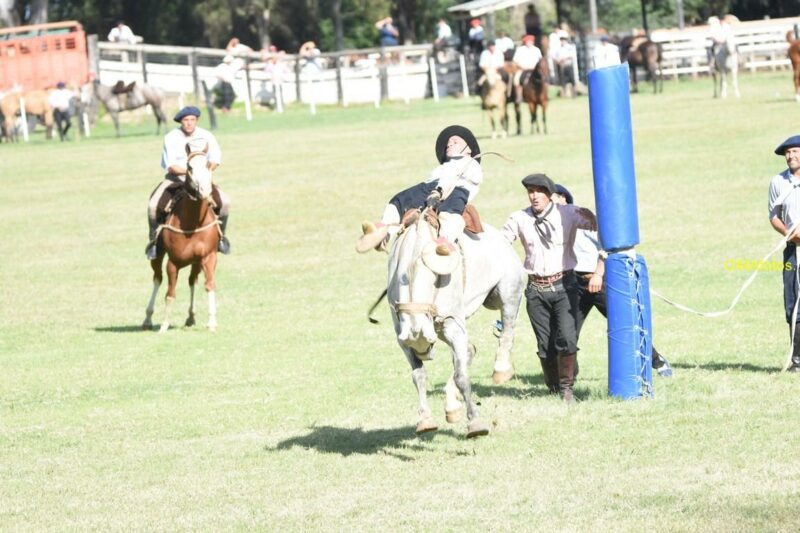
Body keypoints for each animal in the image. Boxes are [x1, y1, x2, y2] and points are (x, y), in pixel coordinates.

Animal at [143, 143, 222, 333]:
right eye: (190, 167)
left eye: (208, 164)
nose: (204, 190)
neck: (193, 222)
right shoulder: (173, 263)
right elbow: (170, 293)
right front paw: (164, 325)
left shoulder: (209, 257)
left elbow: (209, 285)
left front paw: (212, 322)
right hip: (157, 256)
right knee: (157, 278)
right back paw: (148, 318)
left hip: (196, 262)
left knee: (192, 280)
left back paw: (191, 316)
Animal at [384, 207, 525, 438]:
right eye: (419, 346)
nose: (426, 353)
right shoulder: (404, 339)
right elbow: (419, 375)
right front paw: (425, 420)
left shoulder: (453, 326)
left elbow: (461, 376)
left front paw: (475, 423)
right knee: (468, 350)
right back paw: (452, 405)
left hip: (507, 293)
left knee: (507, 330)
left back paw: (501, 368)